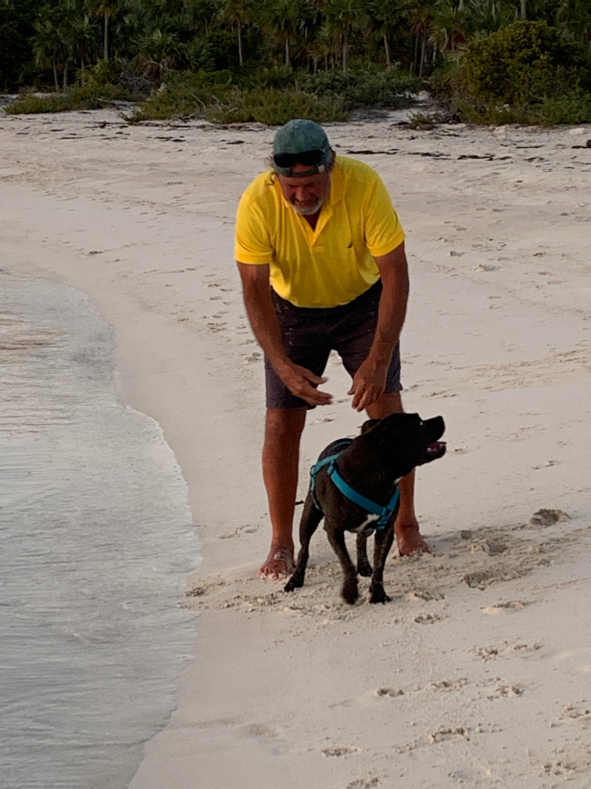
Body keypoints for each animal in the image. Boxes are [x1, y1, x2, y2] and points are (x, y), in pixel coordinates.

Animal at [284, 412, 446, 604]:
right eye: (419, 424)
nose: (441, 417)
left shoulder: (385, 529)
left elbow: (379, 565)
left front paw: (378, 593)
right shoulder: (333, 529)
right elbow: (346, 562)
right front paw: (350, 592)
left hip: (365, 528)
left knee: (360, 540)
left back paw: (363, 566)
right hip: (310, 515)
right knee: (304, 548)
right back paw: (295, 580)